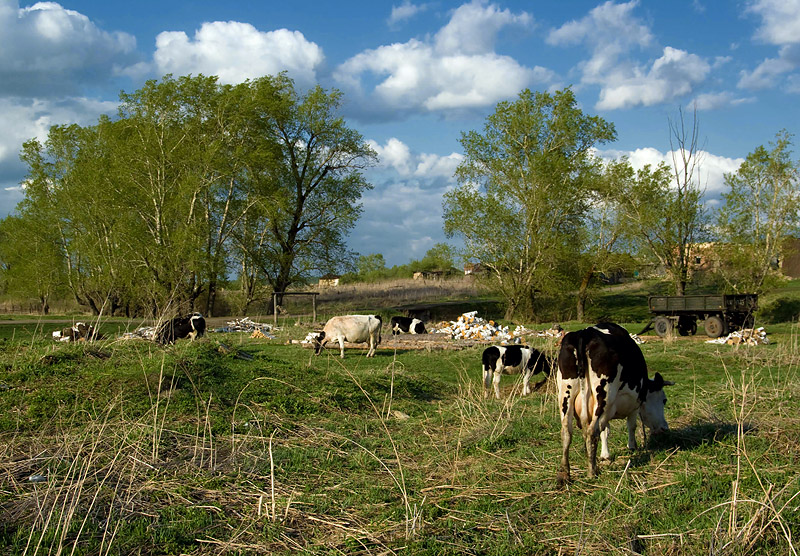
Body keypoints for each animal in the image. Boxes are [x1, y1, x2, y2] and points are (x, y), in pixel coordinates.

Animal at [556, 322, 676, 486]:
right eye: (663, 400)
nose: (665, 428)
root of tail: (584, 334)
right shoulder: (634, 404)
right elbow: (631, 426)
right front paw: (632, 446)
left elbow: (605, 431)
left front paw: (604, 455)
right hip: (603, 396)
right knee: (592, 431)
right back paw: (592, 471)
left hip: (565, 394)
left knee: (567, 432)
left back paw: (564, 474)